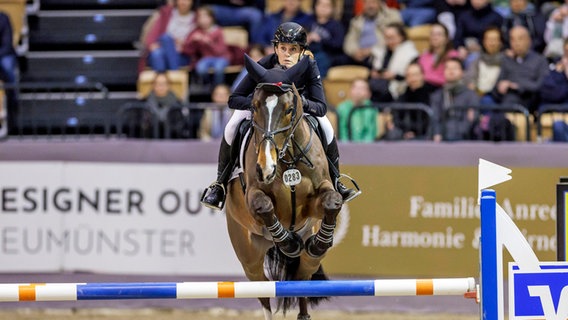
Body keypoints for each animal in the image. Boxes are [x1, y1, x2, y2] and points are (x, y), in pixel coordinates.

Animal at [225, 55, 342, 320]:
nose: (265, 169)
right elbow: (264, 205)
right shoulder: (254, 197)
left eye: (289, 110)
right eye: (254, 106)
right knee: (263, 291)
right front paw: (287, 242)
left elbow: (333, 201)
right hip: (249, 255)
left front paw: (321, 241)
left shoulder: (316, 201)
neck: (288, 158)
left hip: (307, 258)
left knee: (302, 279)